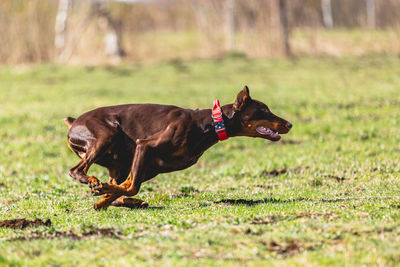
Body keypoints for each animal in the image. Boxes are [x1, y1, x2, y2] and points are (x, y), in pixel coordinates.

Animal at [65, 87, 290, 210]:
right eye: (264, 110)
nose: (289, 124)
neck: (208, 124)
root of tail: (74, 122)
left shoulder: (150, 167)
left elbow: (125, 187)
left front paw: (103, 200)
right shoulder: (144, 146)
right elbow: (132, 186)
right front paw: (102, 192)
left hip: (119, 163)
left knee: (114, 182)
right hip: (105, 135)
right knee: (76, 170)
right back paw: (93, 181)